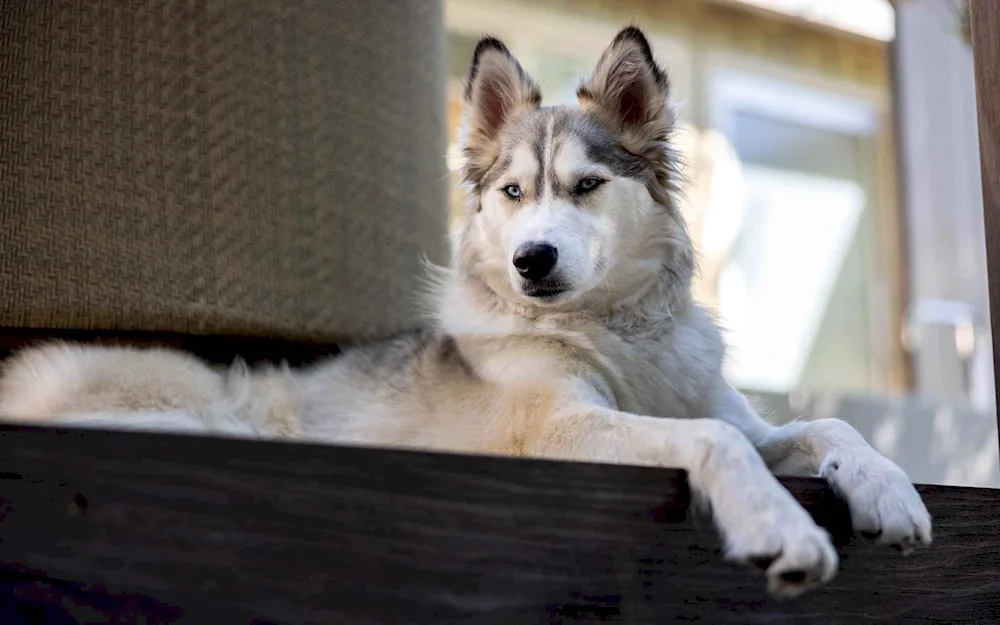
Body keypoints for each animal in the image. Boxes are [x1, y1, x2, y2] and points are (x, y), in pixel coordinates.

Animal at [0, 26, 928, 596]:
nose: (531, 260)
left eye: (586, 186)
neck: (615, 331)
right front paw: (777, 522)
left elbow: (822, 427)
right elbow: (715, 440)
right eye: (513, 192)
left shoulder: (726, 410)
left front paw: (890, 491)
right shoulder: (559, 429)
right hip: (197, 412)